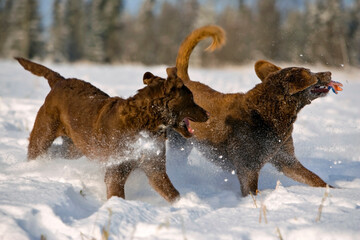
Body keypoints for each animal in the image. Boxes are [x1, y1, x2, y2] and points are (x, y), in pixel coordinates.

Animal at [16, 57, 208, 202]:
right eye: (191, 98)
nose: (207, 114)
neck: (146, 124)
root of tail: (59, 81)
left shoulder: (154, 167)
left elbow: (172, 194)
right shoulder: (117, 170)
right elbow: (116, 193)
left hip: (75, 146)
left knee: (58, 152)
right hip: (44, 133)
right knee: (37, 150)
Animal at [169, 25, 334, 196]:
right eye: (310, 72)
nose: (329, 73)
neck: (268, 112)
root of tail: (185, 80)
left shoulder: (286, 159)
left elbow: (314, 178)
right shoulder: (248, 168)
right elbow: (252, 191)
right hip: (178, 143)